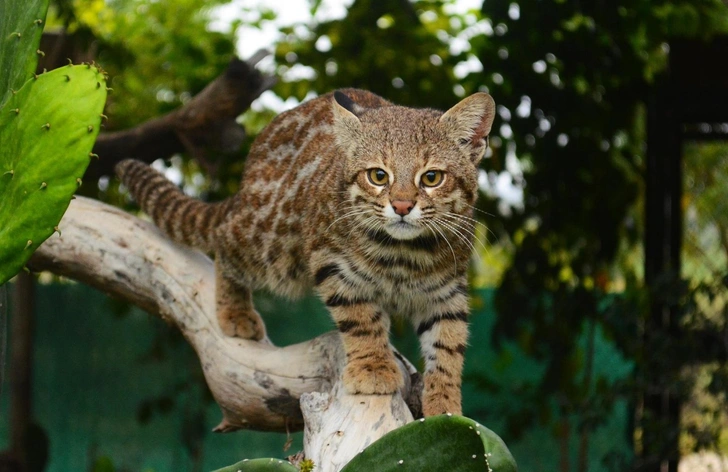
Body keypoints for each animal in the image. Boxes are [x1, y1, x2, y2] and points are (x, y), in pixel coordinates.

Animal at [116, 87, 498, 412]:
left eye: (432, 178)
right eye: (378, 176)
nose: (402, 206)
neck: (404, 251)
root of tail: (249, 173)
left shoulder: (446, 290)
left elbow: (448, 345)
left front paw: (445, 399)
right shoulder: (334, 265)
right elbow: (361, 320)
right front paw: (373, 366)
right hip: (270, 244)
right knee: (225, 241)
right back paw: (234, 311)